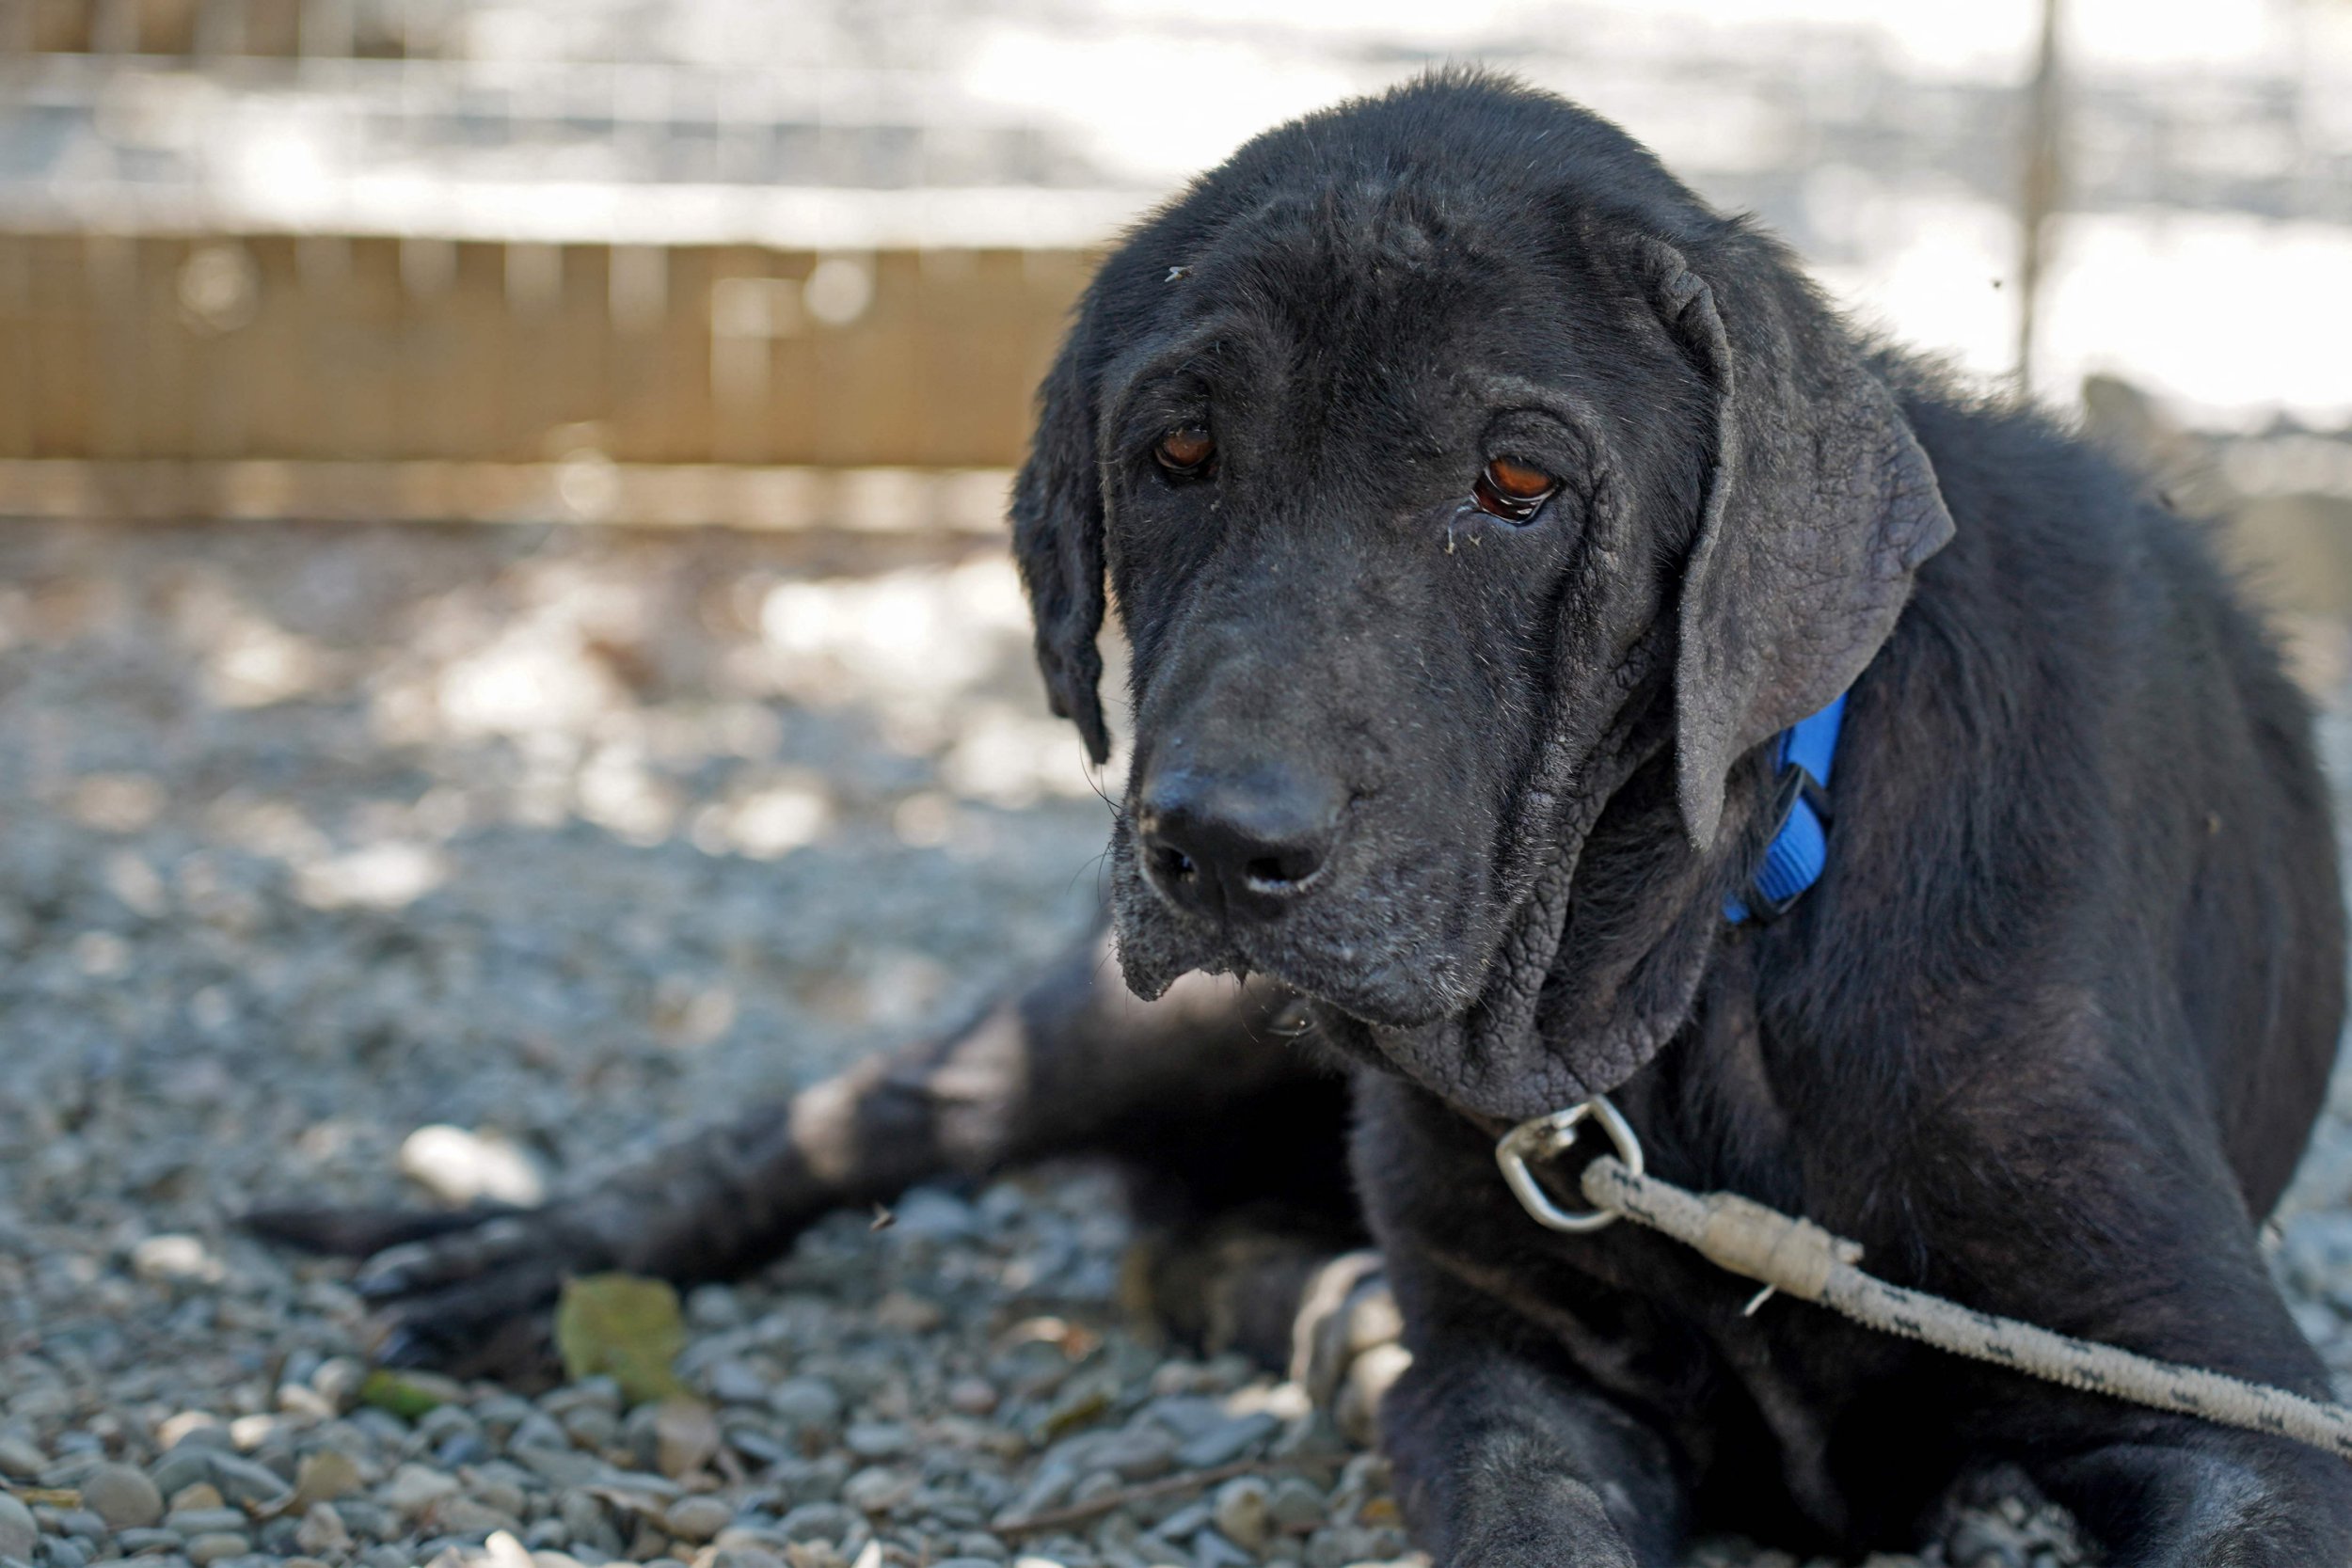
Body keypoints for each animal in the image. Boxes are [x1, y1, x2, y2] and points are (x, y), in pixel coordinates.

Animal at [262, 73, 2352, 1568]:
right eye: (1176, 450)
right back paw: (524, 1252)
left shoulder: (2219, 1401)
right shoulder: (1513, 1387)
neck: (1718, 939)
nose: (1213, 845)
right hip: (1126, 1021)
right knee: (856, 1125)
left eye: (1517, 483)